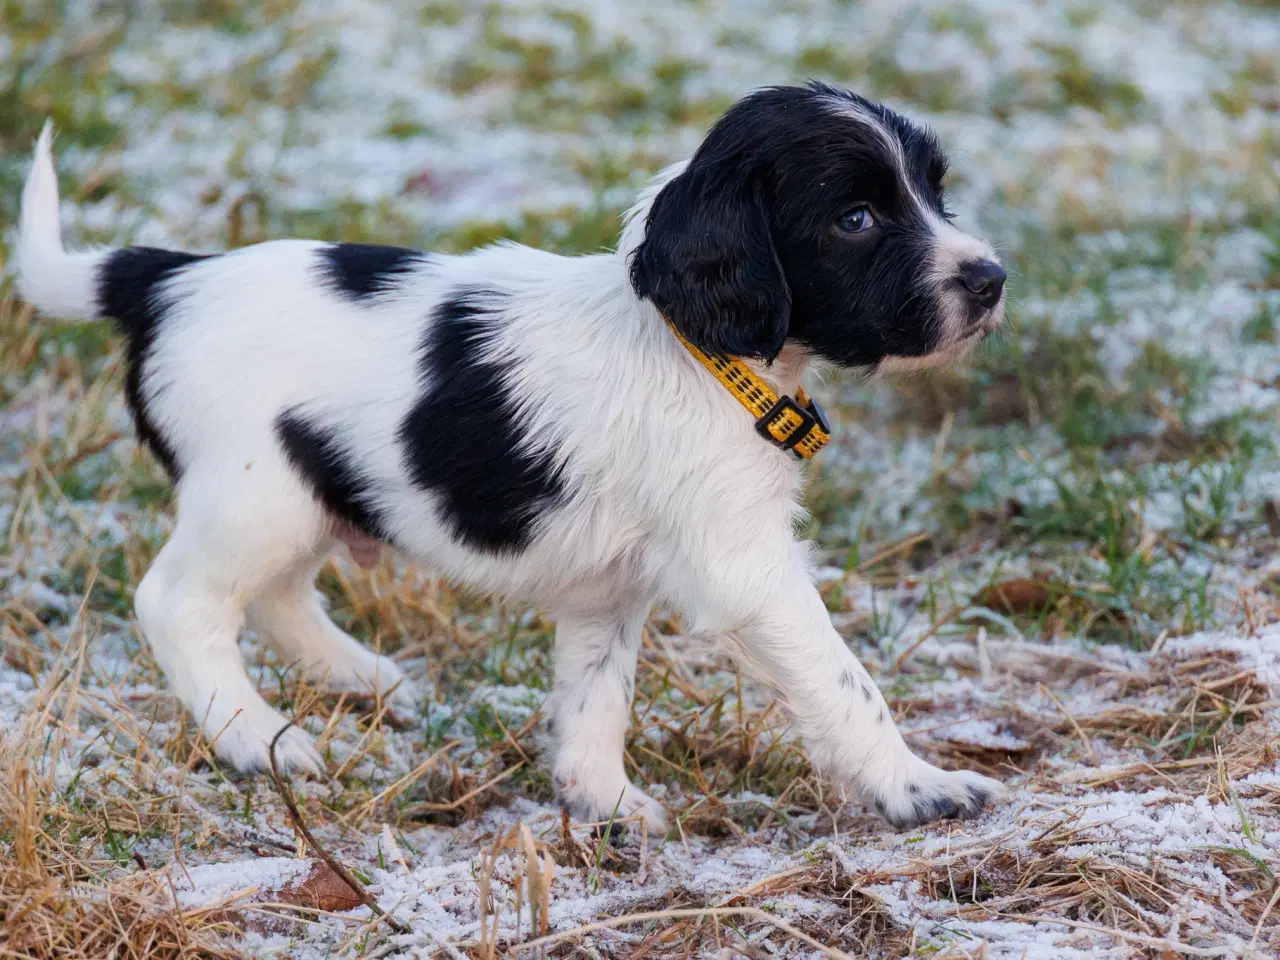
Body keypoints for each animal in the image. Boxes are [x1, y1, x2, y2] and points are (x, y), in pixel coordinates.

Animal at [15, 84, 1003, 834]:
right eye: (856, 217)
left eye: (933, 191)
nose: (991, 279)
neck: (695, 349)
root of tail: (167, 278)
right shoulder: (745, 567)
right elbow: (844, 680)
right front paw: (920, 786)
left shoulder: (611, 588)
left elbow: (598, 694)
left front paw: (603, 803)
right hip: (255, 493)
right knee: (180, 603)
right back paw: (261, 739)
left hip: (307, 489)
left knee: (275, 595)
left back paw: (363, 678)